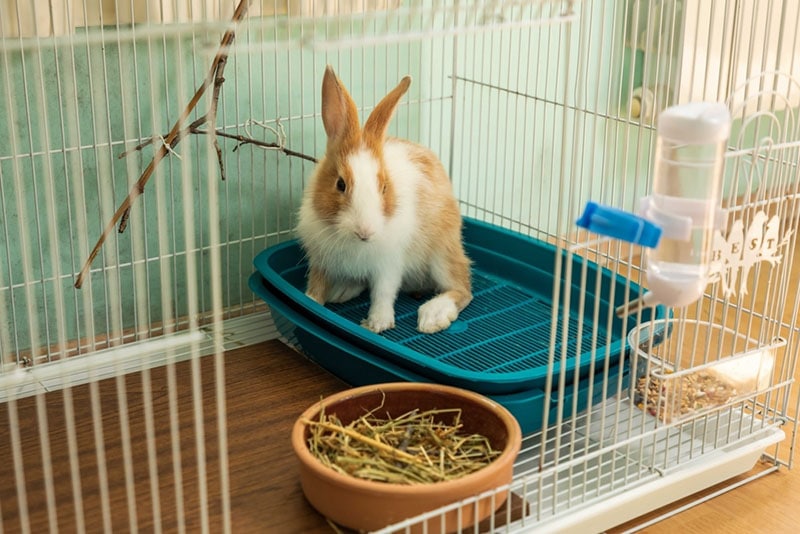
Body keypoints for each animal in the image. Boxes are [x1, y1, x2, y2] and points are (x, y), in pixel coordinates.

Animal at [296, 66, 472, 334]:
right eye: (340, 184)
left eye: (384, 187)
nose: (365, 232)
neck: (354, 242)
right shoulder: (321, 261)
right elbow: (316, 286)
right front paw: (311, 301)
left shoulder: (389, 264)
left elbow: (383, 292)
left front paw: (378, 323)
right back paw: (342, 290)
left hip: (442, 252)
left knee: (462, 287)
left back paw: (433, 315)